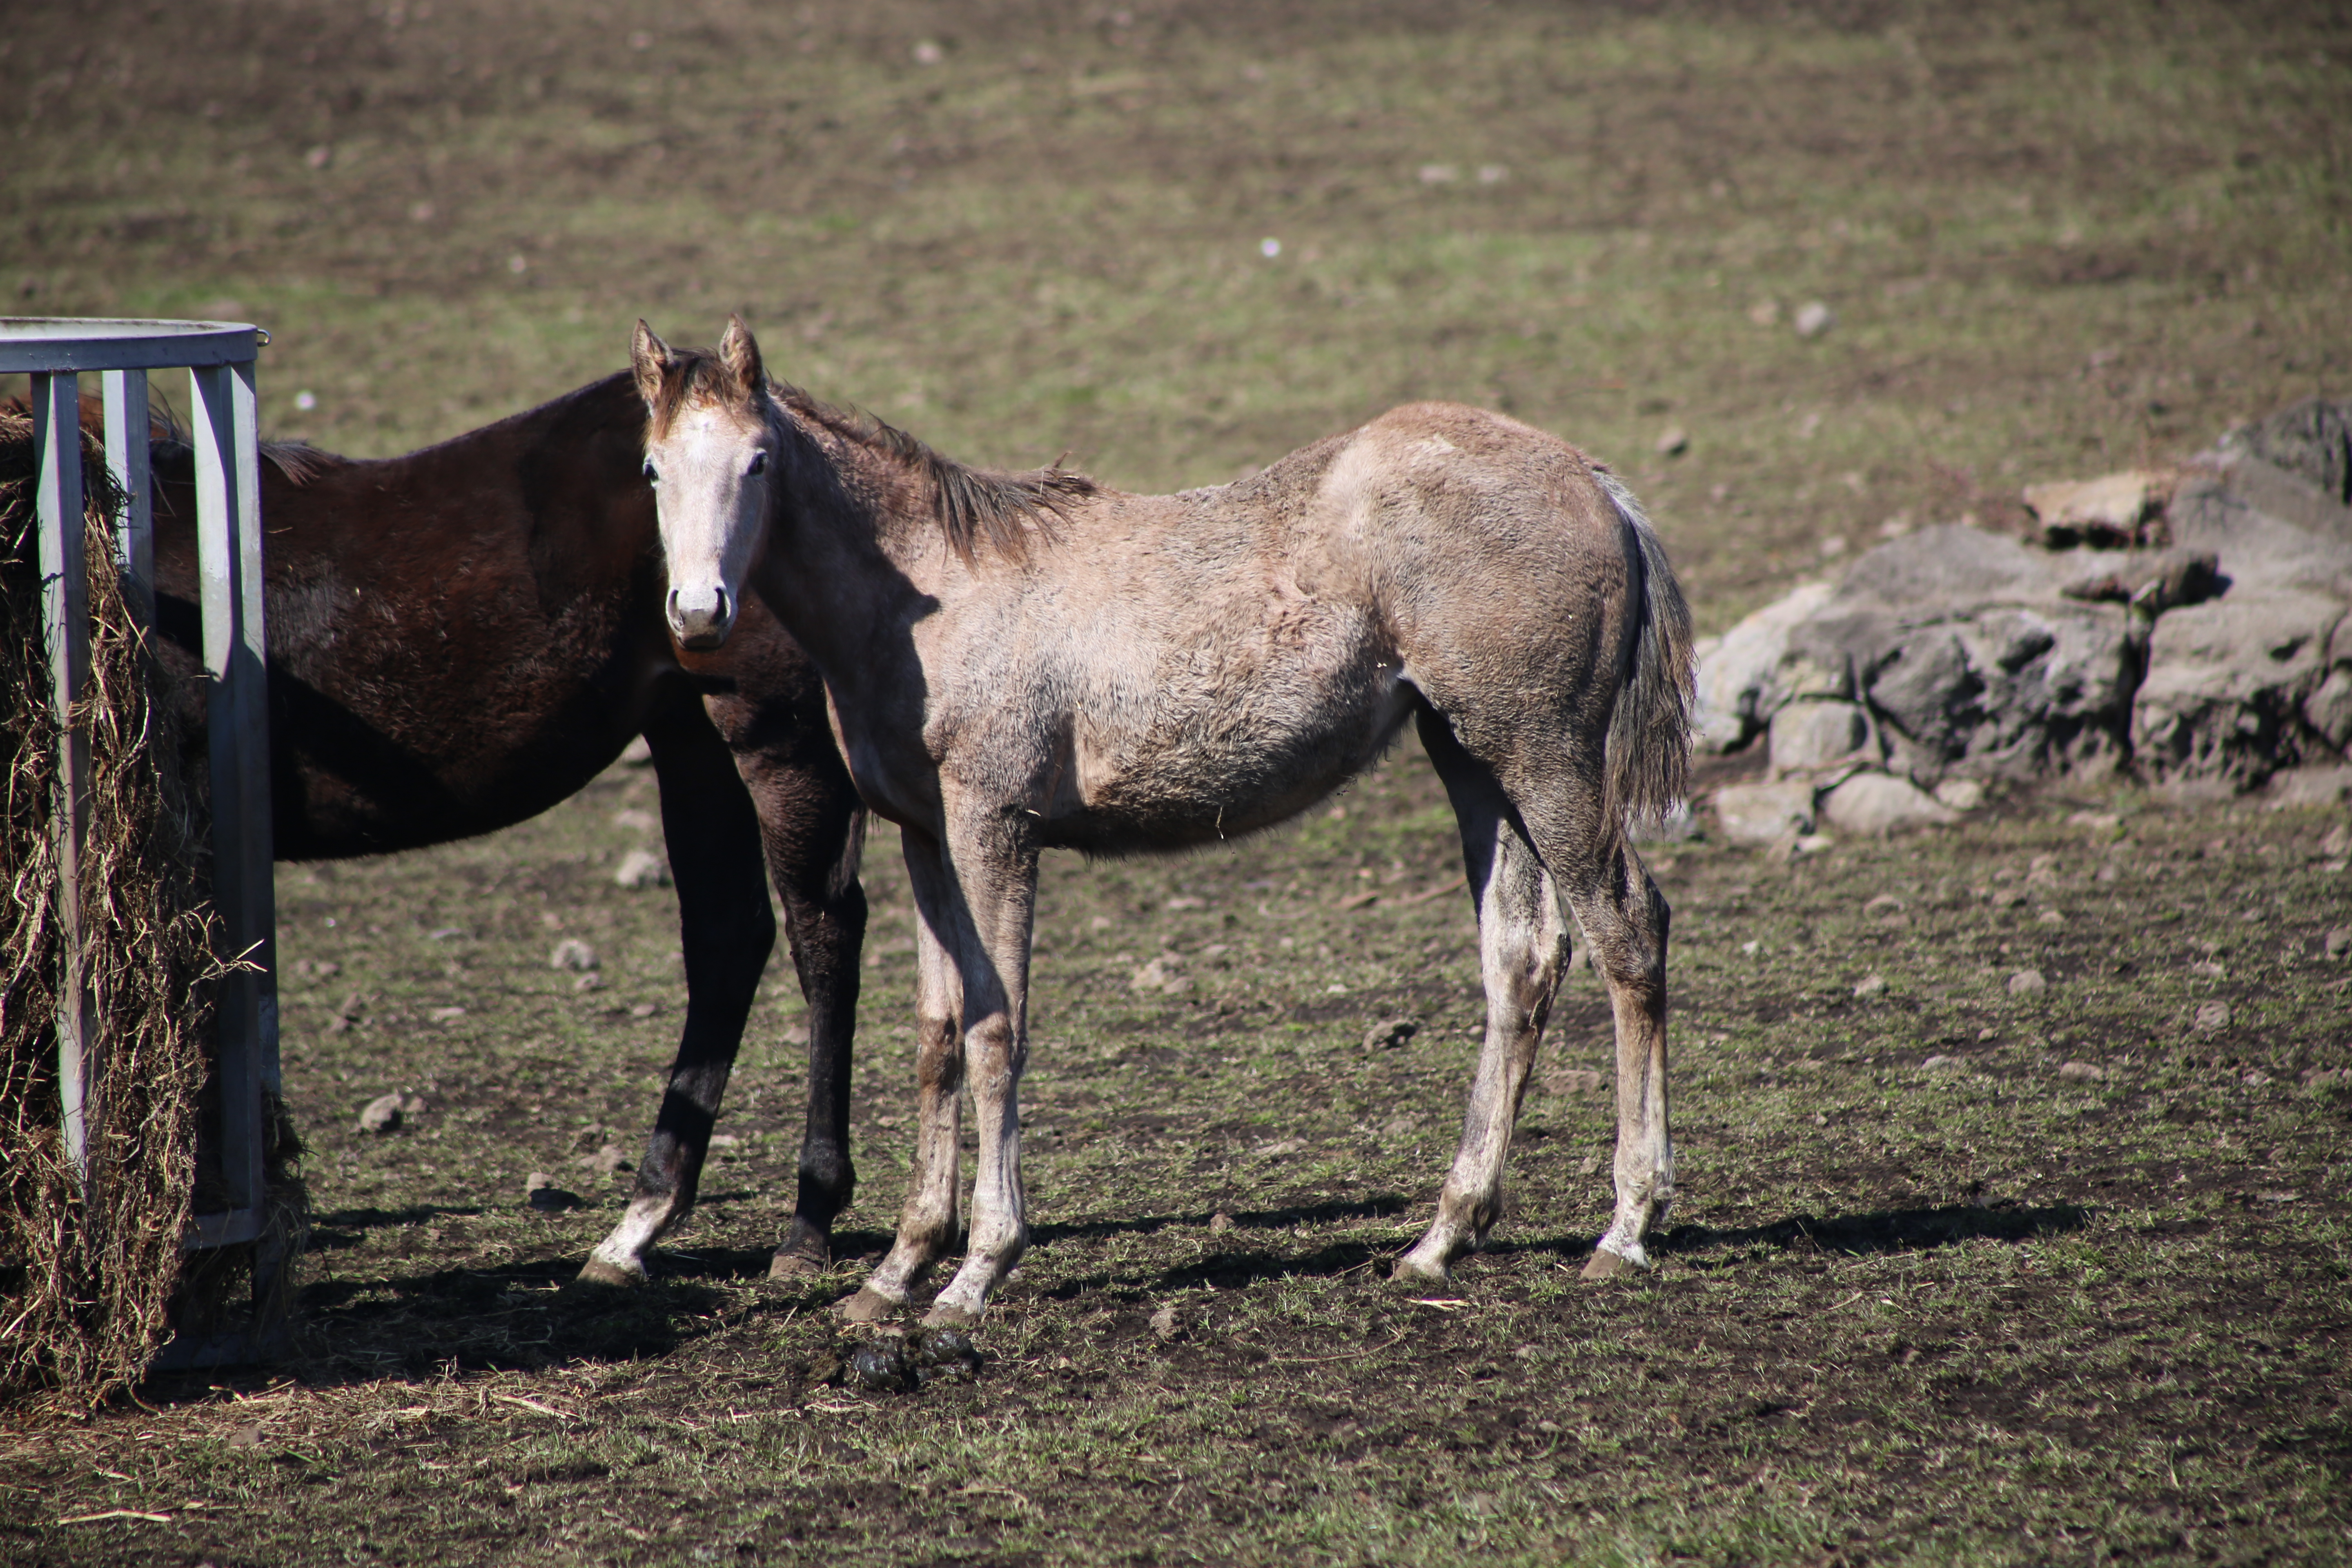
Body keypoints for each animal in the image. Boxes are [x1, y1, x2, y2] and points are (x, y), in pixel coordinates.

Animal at [137, 376, 875, 1288]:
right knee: (730, 938)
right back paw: (637, 1225)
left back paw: (808, 1217)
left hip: (776, 740)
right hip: (690, 737)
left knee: (823, 938)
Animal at [635, 315, 1703, 1326]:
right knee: (1521, 960)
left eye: (757, 460)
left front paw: (975, 1272)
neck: (927, 594)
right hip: (1472, 756)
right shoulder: (923, 836)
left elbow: (995, 1031)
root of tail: (1595, 482)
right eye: (651, 468)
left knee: (1627, 932)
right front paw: (894, 1271)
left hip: (1545, 754)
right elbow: (938, 1037)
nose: (696, 613)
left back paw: (1626, 1227)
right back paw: (1440, 1238)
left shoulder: (994, 826)